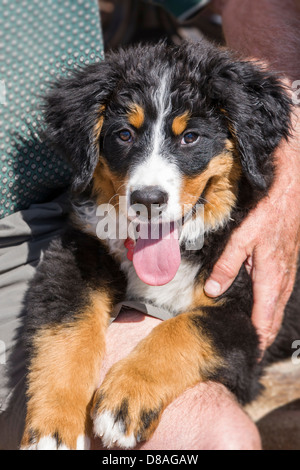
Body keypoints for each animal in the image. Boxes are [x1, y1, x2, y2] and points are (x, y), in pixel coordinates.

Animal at [21, 38, 300, 450]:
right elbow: (67, 330)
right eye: (124, 135)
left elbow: (183, 329)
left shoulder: (248, 321)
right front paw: (53, 427)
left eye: (190, 137)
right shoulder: (76, 256)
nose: (148, 199)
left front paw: (126, 398)